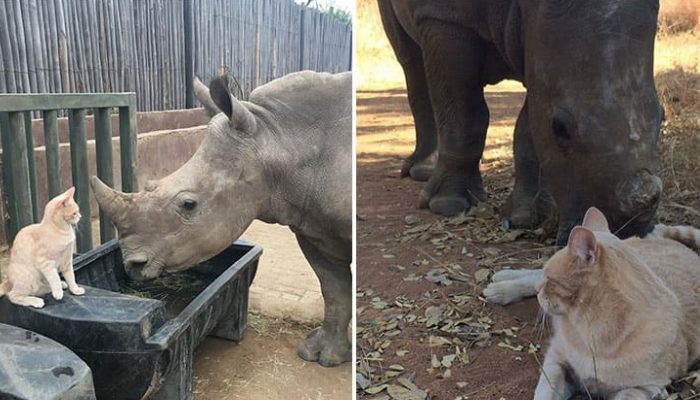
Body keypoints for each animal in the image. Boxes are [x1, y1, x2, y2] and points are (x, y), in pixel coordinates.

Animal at [486, 208, 700, 398]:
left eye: (550, 279)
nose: (540, 290)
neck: (592, 332)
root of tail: (667, 241)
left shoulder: (646, 387)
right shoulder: (556, 358)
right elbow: (545, 391)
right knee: (531, 275)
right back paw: (500, 285)